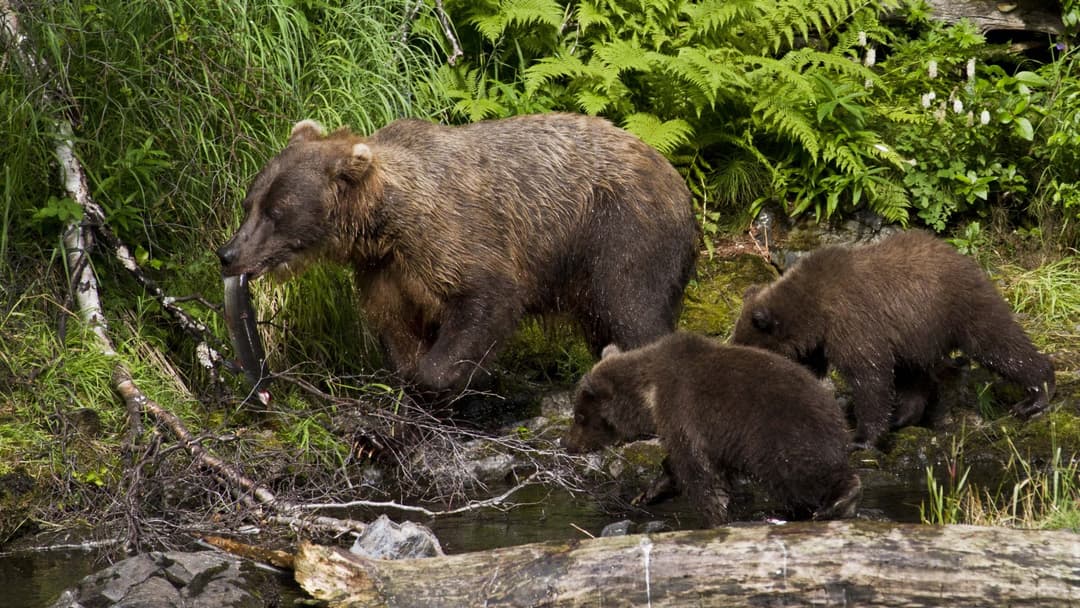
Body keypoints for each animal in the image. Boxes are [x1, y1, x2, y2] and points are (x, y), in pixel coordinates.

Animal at [217, 113, 698, 393]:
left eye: (277, 212)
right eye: (249, 202)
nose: (228, 253)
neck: (383, 224)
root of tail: (678, 179)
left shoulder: (454, 237)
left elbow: (487, 298)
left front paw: (453, 376)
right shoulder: (384, 270)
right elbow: (395, 325)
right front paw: (410, 373)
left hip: (619, 232)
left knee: (632, 310)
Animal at [563, 332, 861, 524]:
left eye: (580, 416)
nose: (570, 445)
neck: (649, 393)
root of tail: (838, 414)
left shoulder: (682, 408)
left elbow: (698, 470)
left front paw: (715, 514)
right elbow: (681, 466)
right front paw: (647, 493)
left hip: (781, 437)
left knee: (801, 475)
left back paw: (839, 499)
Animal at [731, 229, 1055, 449]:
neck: (814, 312)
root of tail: (961, 256)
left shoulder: (853, 322)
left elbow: (869, 376)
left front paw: (860, 437)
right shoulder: (821, 344)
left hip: (958, 306)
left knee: (998, 343)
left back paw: (1035, 396)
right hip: (916, 332)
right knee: (916, 374)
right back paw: (903, 416)